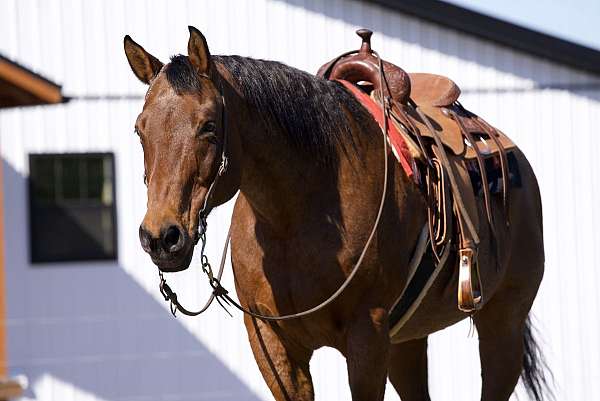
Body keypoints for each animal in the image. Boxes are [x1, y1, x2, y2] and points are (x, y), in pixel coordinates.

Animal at [124, 26, 552, 398]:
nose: (162, 237)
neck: (293, 219)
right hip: (407, 340)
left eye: (209, 126)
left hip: (503, 323)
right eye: (139, 130)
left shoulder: (368, 338)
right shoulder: (273, 345)